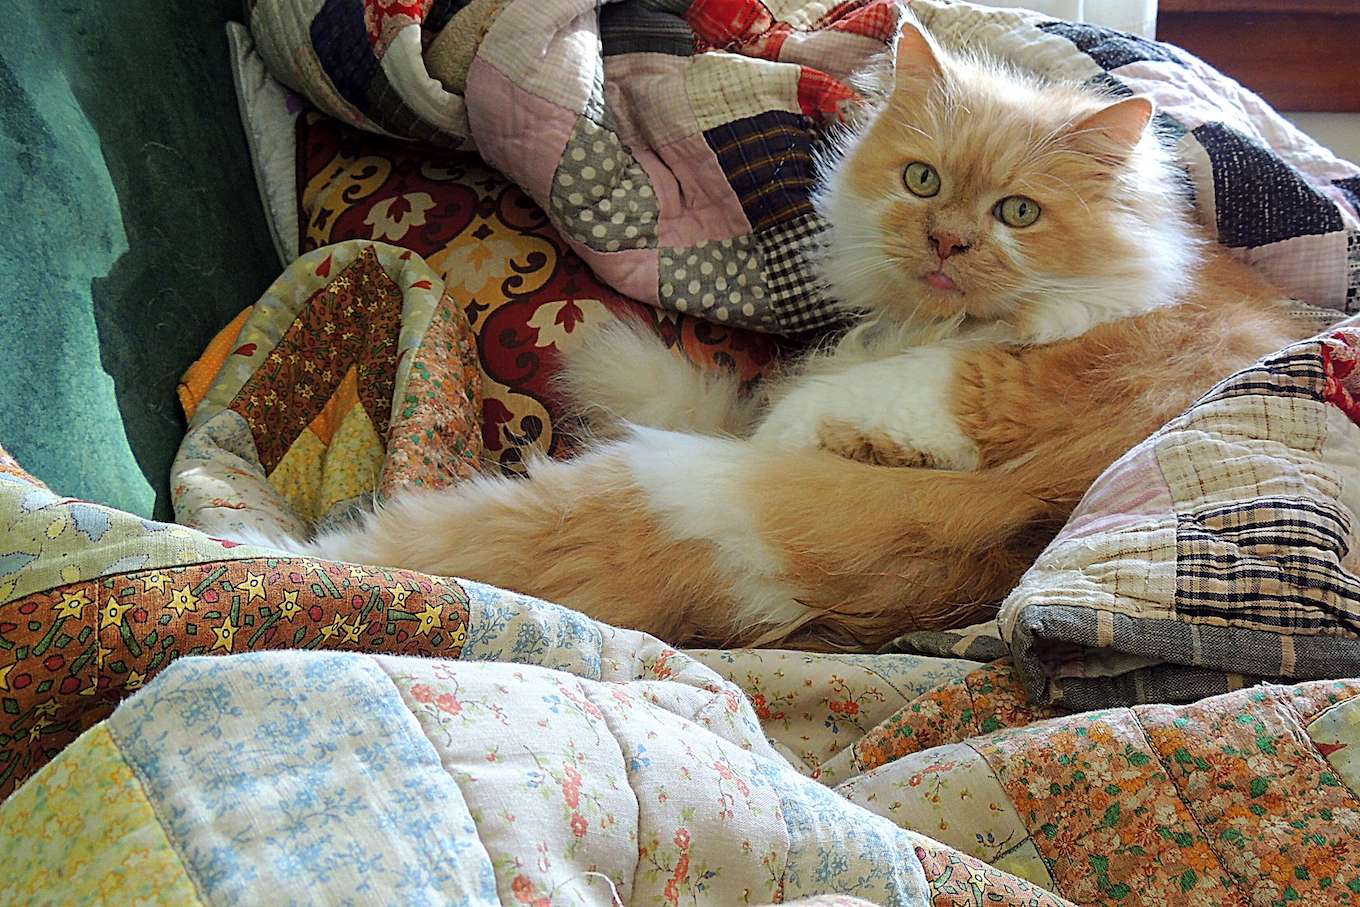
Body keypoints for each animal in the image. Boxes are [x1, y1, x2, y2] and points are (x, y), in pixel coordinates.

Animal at [247, 15, 1316, 652]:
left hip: (644, 491)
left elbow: (812, 407)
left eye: (1017, 212)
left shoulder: (980, 390)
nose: (947, 240)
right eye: (922, 179)